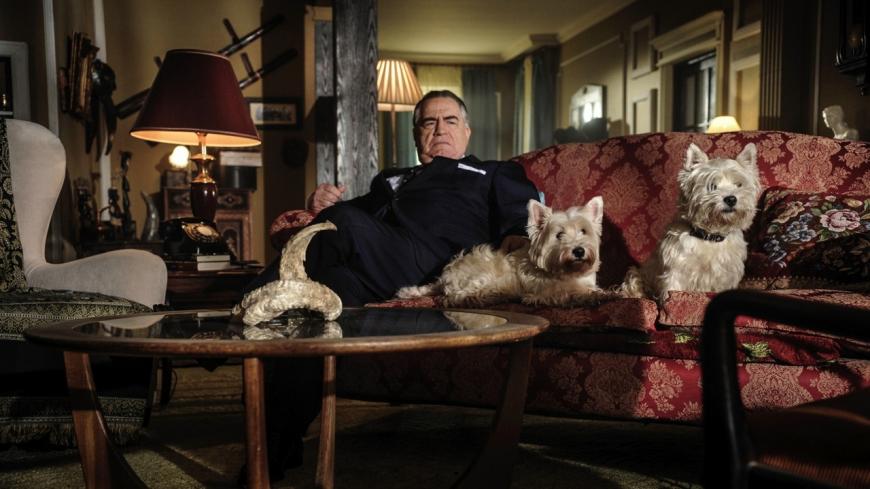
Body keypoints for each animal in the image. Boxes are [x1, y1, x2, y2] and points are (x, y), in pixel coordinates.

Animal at [397, 197, 608, 307]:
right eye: (559, 235)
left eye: (583, 231)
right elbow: (568, 292)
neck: (568, 271)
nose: (578, 250)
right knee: (456, 297)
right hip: (482, 275)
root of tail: (444, 277)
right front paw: (596, 295)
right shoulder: (543, 292)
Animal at [622, 142, 761, 303]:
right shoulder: (677, 271)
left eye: (739, 185)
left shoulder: (726, 275)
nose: (731, 199)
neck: (710, 236)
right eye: (712, 186)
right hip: (636, 275)